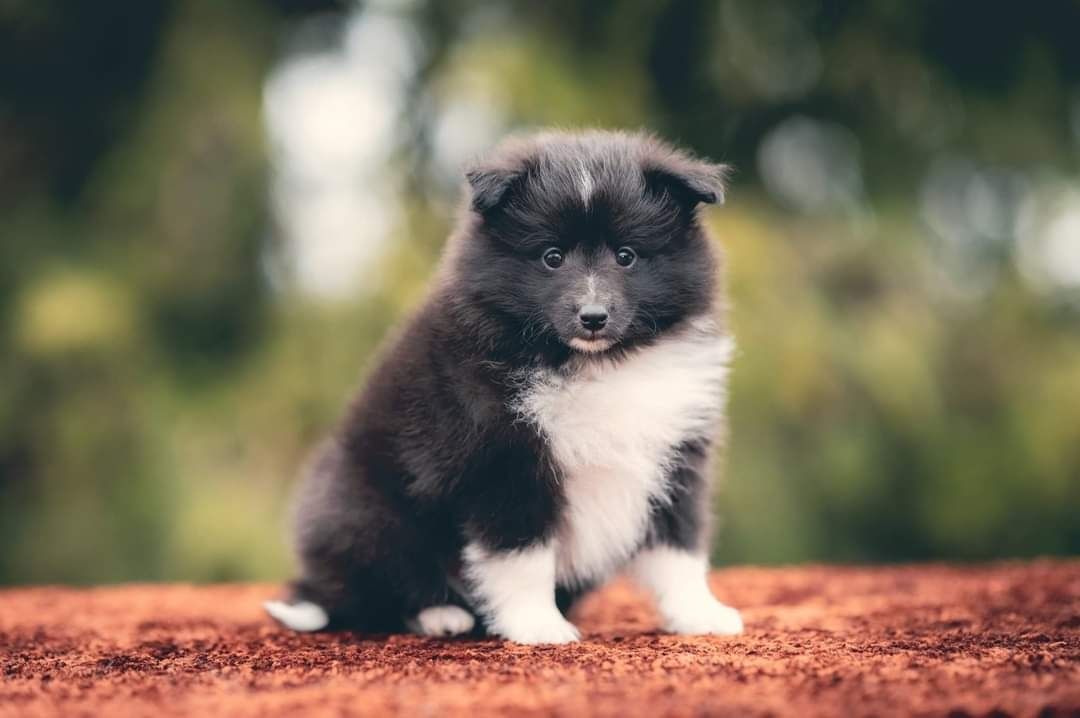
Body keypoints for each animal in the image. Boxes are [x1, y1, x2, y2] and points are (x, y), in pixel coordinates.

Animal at [265, 130, 747, 643]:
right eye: (552, 258)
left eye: (626, 256)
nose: (593, 316)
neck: (596, 364)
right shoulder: (506, 459)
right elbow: (523, 557)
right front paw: (539, 625)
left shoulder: (677, 452)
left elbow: (680, 548)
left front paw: (701, 614)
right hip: (367, 513)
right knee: (374, 593)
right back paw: (441, 615)